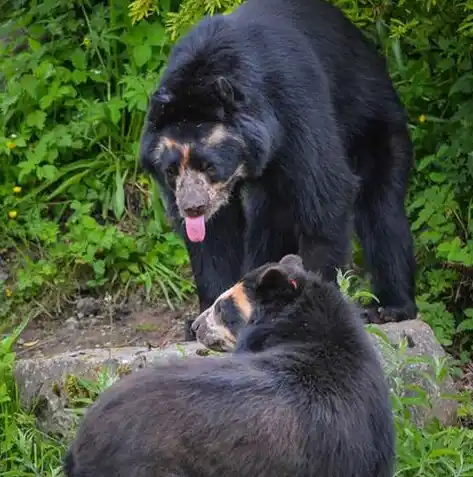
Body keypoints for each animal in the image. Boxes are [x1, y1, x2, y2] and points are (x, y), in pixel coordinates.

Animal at [139, 0, 416, 324]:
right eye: (171, 171)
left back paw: (390, 307)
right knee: (268, 223)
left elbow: (326, 195)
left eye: (209, 166)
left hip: (376, 127)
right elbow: (215, 236)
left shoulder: (294, 103)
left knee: (382, 210)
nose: (192, 208)